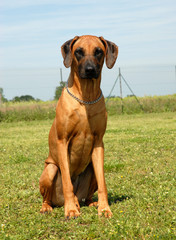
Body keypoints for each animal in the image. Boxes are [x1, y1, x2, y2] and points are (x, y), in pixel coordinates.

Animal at [39, 34, 117, 218]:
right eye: (79, 52)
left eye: (98, 51)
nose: (89, 70)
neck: (86, 98)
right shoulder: (62, 141)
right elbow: (67, 181)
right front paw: (71, 210)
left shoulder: (98, 143)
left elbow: (103, 183)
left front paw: (104, 208)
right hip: (50, 169)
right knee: (49, 196)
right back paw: (50, 206)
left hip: (91, 170)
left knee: (87, 194)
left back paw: (91, 202)